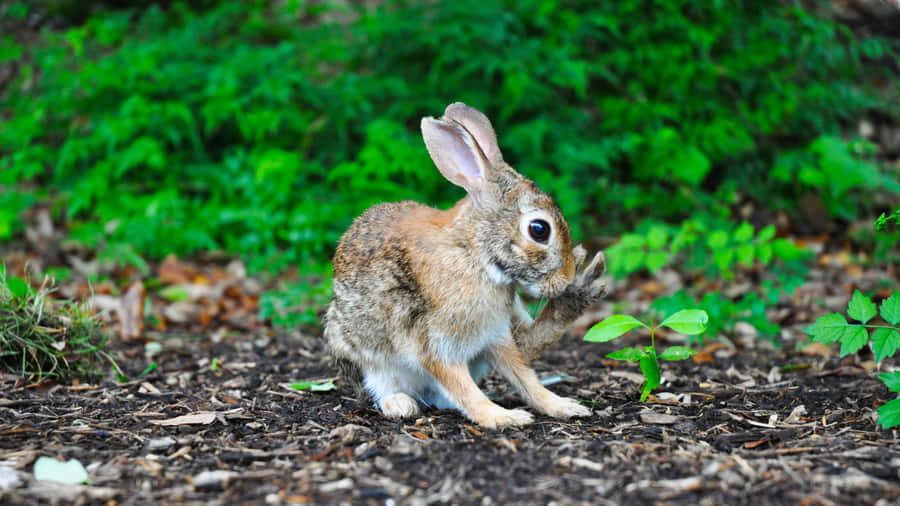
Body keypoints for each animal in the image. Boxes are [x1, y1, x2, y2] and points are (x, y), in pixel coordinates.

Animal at [324, 102, 606, 429]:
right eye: (539, 229)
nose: (565, 278)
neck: (476, 255)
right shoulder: (435, 343)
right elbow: (463, 386)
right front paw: (502, 417)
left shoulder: (495, 335)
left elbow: (525, 377)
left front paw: (561, 406)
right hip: (364, 356)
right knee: (383, 387)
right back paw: (400, 404)